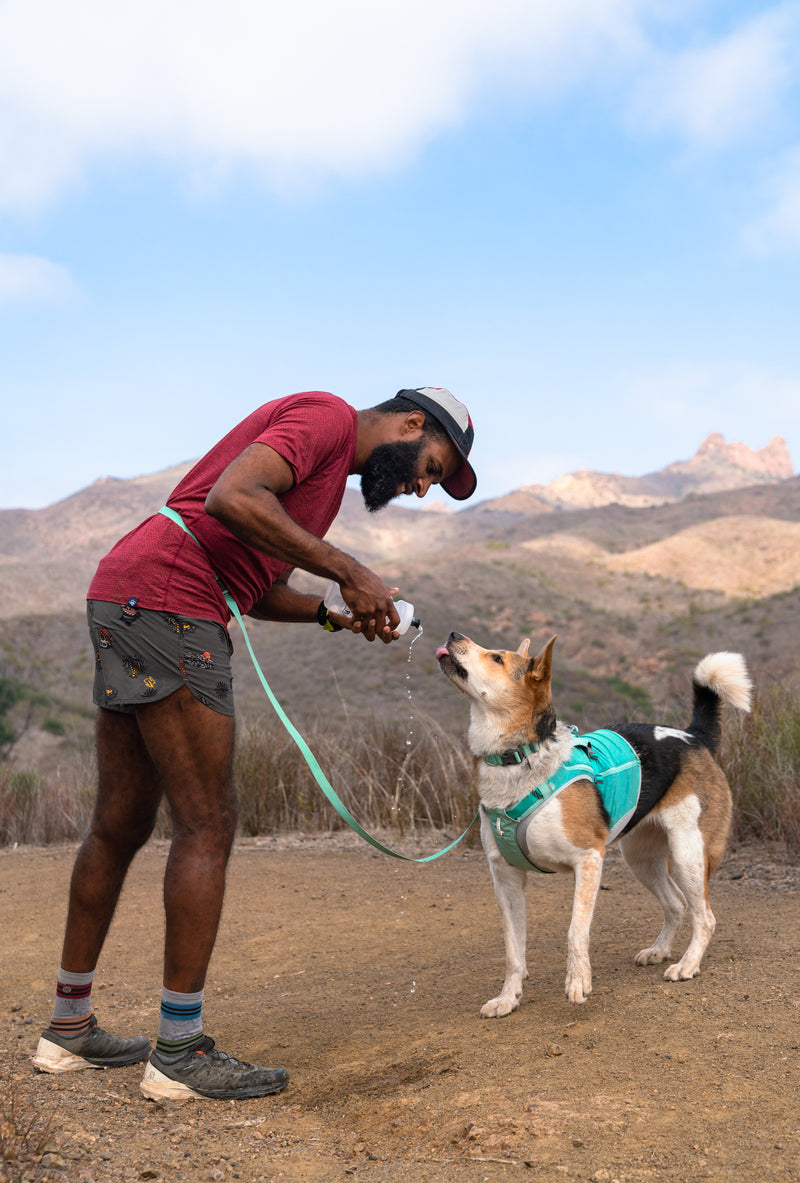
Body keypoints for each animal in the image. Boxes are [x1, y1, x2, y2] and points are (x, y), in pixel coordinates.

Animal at [435, 634, 752, 1012]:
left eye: (497, 658)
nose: (453, 635)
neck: (520, 759)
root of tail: (693, 736)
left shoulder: (588, 859)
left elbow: (575, 931)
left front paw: (578, 982)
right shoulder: (506, 878)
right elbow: (513, 950)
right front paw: (508, 998)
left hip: (688, 850)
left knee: (704, 916)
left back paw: (687, 964)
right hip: (641, 858)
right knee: (676, 903)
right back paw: (659, 950)